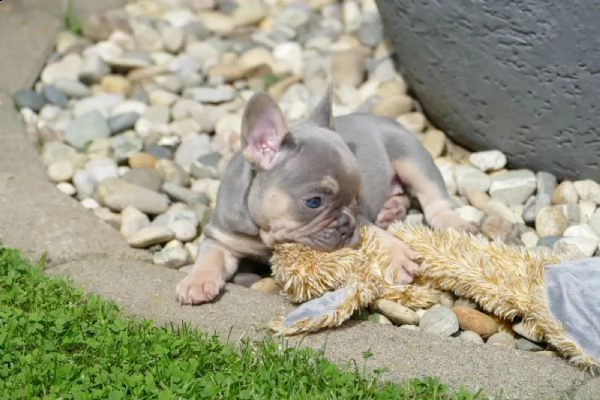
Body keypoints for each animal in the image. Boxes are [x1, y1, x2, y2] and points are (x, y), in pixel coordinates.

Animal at [176, 83, 476, 304]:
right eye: (313, 202)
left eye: (356, 201)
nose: (346, 227)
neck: (262, 233)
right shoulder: (221, 237)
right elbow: (209, 258)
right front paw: (196, 281)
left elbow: (374, 233)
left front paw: (396, 254)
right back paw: (391, 211)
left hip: (413, 158)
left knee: (434, 199)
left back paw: (453, 222)